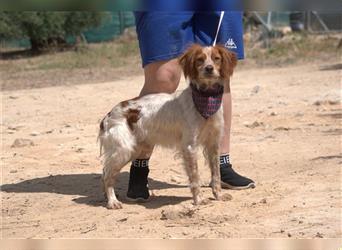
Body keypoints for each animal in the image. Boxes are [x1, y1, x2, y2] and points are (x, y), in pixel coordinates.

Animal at [97, 43, 236, 209]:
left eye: (216, 58)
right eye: (200, 60)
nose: (209, 68)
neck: (206, 99)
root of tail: (109, 115)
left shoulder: (213, 144)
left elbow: (216, 174)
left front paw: (219, 195)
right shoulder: (190, 146)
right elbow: (195, 177)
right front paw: (198, 199)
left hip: (132, 148)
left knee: (105, 172)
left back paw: (108, 197)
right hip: (123, 150)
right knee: (107, 175)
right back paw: (112, 201)